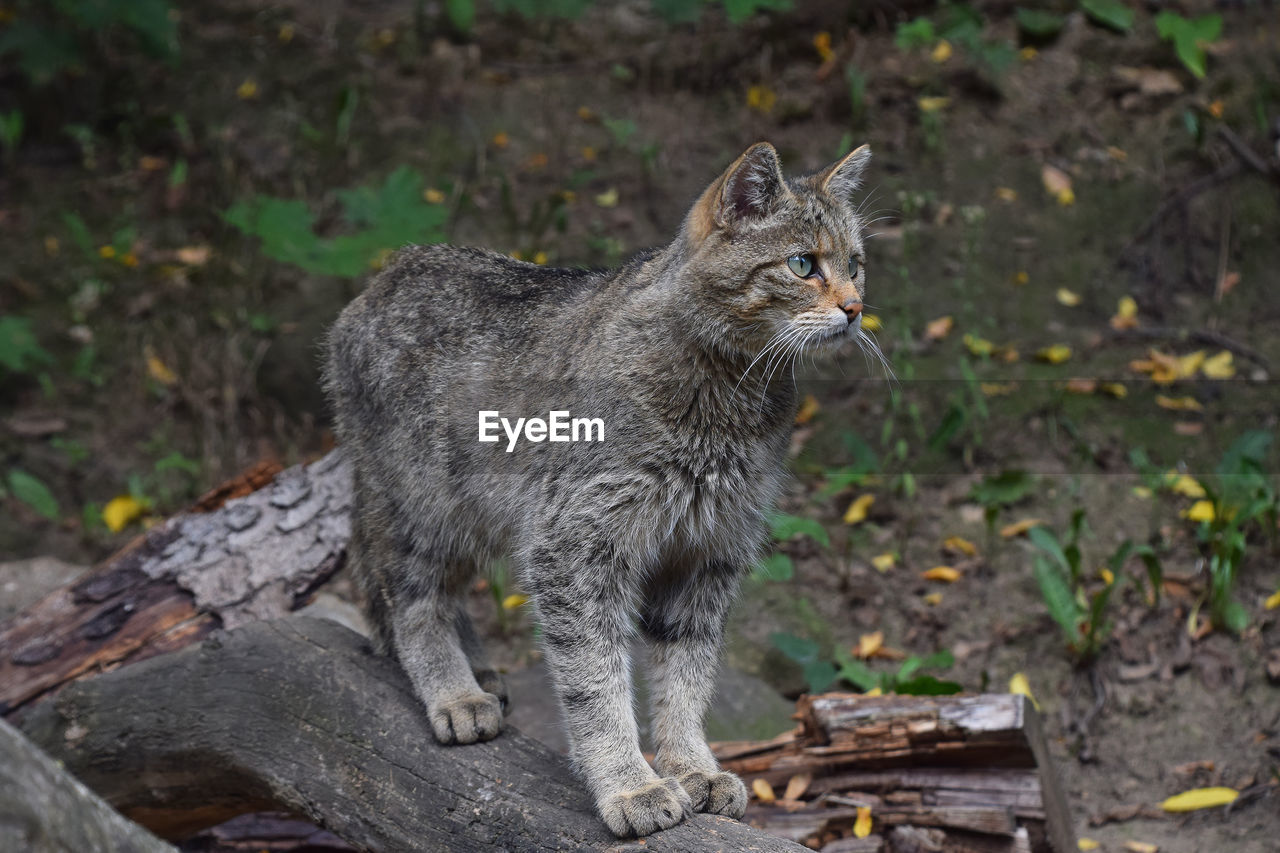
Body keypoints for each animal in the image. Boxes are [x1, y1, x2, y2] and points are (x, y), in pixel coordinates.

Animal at [325, 140, 875, 835]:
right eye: (803, 264)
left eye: (855, 264)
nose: (856, 308)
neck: (732, 391)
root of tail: (382, 278)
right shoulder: (575, 547)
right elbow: (597, 682)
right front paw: (629, 784)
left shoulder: (708, 552)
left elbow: (686, 678)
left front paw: (690, 765)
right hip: (423, 506)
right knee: (411, 600)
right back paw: (454, 692)